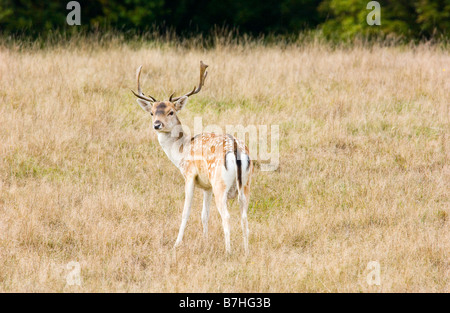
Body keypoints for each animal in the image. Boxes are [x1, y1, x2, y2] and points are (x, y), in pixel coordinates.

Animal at [132, 61, 255, 254]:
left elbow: (186, 211)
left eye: (171, 112)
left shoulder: (189, 175)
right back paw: (246, 251)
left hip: (220, 184)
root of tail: (236, 149)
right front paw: (205, 240)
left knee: (226, 216)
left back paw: (228, 251)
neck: (182, 150)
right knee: (244, 216)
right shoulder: (206, 186)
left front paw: (177, 243)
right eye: (152, 112)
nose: (157, 125)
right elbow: (204, 214)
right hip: (246, 185)